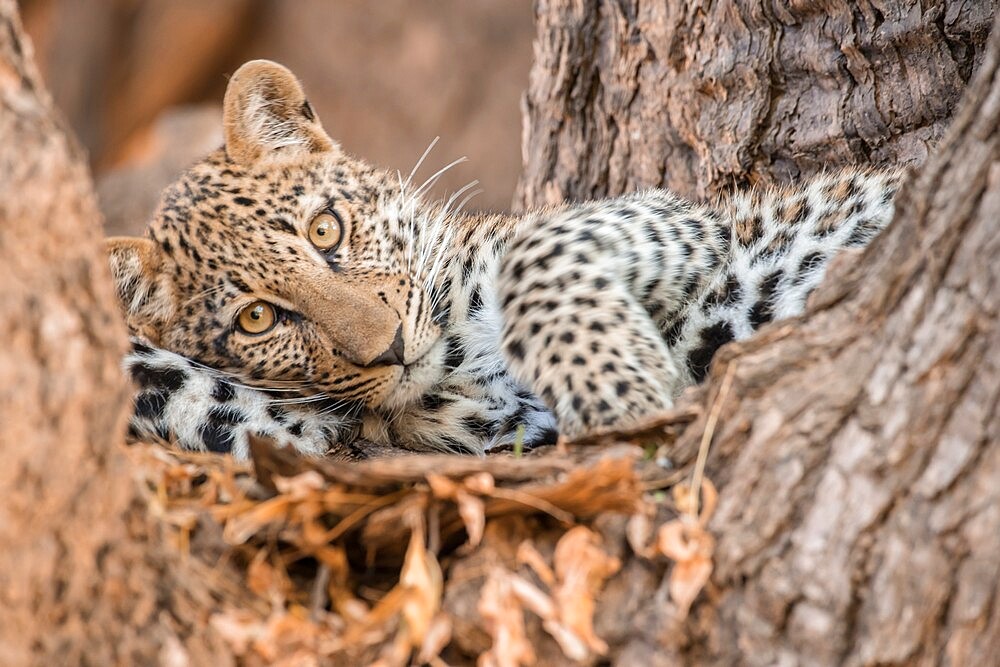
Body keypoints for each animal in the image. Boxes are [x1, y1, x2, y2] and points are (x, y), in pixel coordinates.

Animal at [107, 60, 900, 460]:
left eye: (326, 231)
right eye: (257, 320)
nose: (389, 349)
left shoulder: (675, 219)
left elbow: (536, 248)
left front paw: (626, 390)